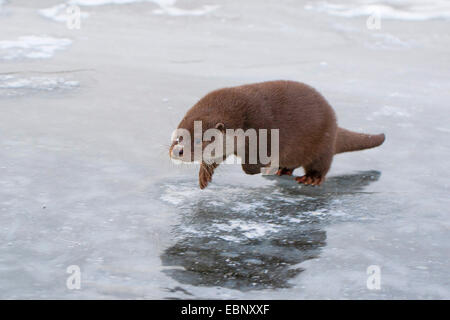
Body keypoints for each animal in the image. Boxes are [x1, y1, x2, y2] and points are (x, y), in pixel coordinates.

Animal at [170, 80, 386, 189]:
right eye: (178, 136)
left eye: (200, 139)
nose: (178, 151)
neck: (242, 119)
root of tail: (335, 125)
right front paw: (204, 176)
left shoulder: (262, 131)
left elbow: (254, 161)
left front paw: (259, 168)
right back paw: (284, 170)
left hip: (323, 143)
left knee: (322, 165)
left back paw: (311, 178)